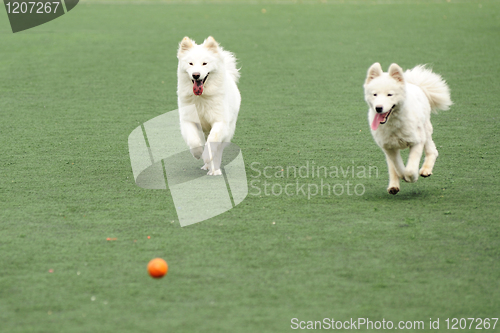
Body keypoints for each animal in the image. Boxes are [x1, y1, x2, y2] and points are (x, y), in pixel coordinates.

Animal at [177, 36, 241, 175]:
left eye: (204, 63)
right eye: (190, 63)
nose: (196, 75)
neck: (201, 98)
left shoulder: (220, 122)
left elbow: (212, 141)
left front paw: (207, 157)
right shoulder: (187, 120)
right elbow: (193, 140)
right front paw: (197, 154)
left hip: (228, 130)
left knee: (218, 150)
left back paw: (214, 170)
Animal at [364, 62, 454, 193]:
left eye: (390, 94)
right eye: (374, 94)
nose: (378, 108)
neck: (393, 123)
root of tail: (415, 84)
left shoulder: (417, 141)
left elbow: (410, 169)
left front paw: (412, 177)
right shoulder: (389, 147)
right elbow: (398, 167)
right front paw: (402, 176)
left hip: (426, 131)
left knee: (433, 151)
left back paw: (425, 170)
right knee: (392, 168)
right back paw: (393, 186)